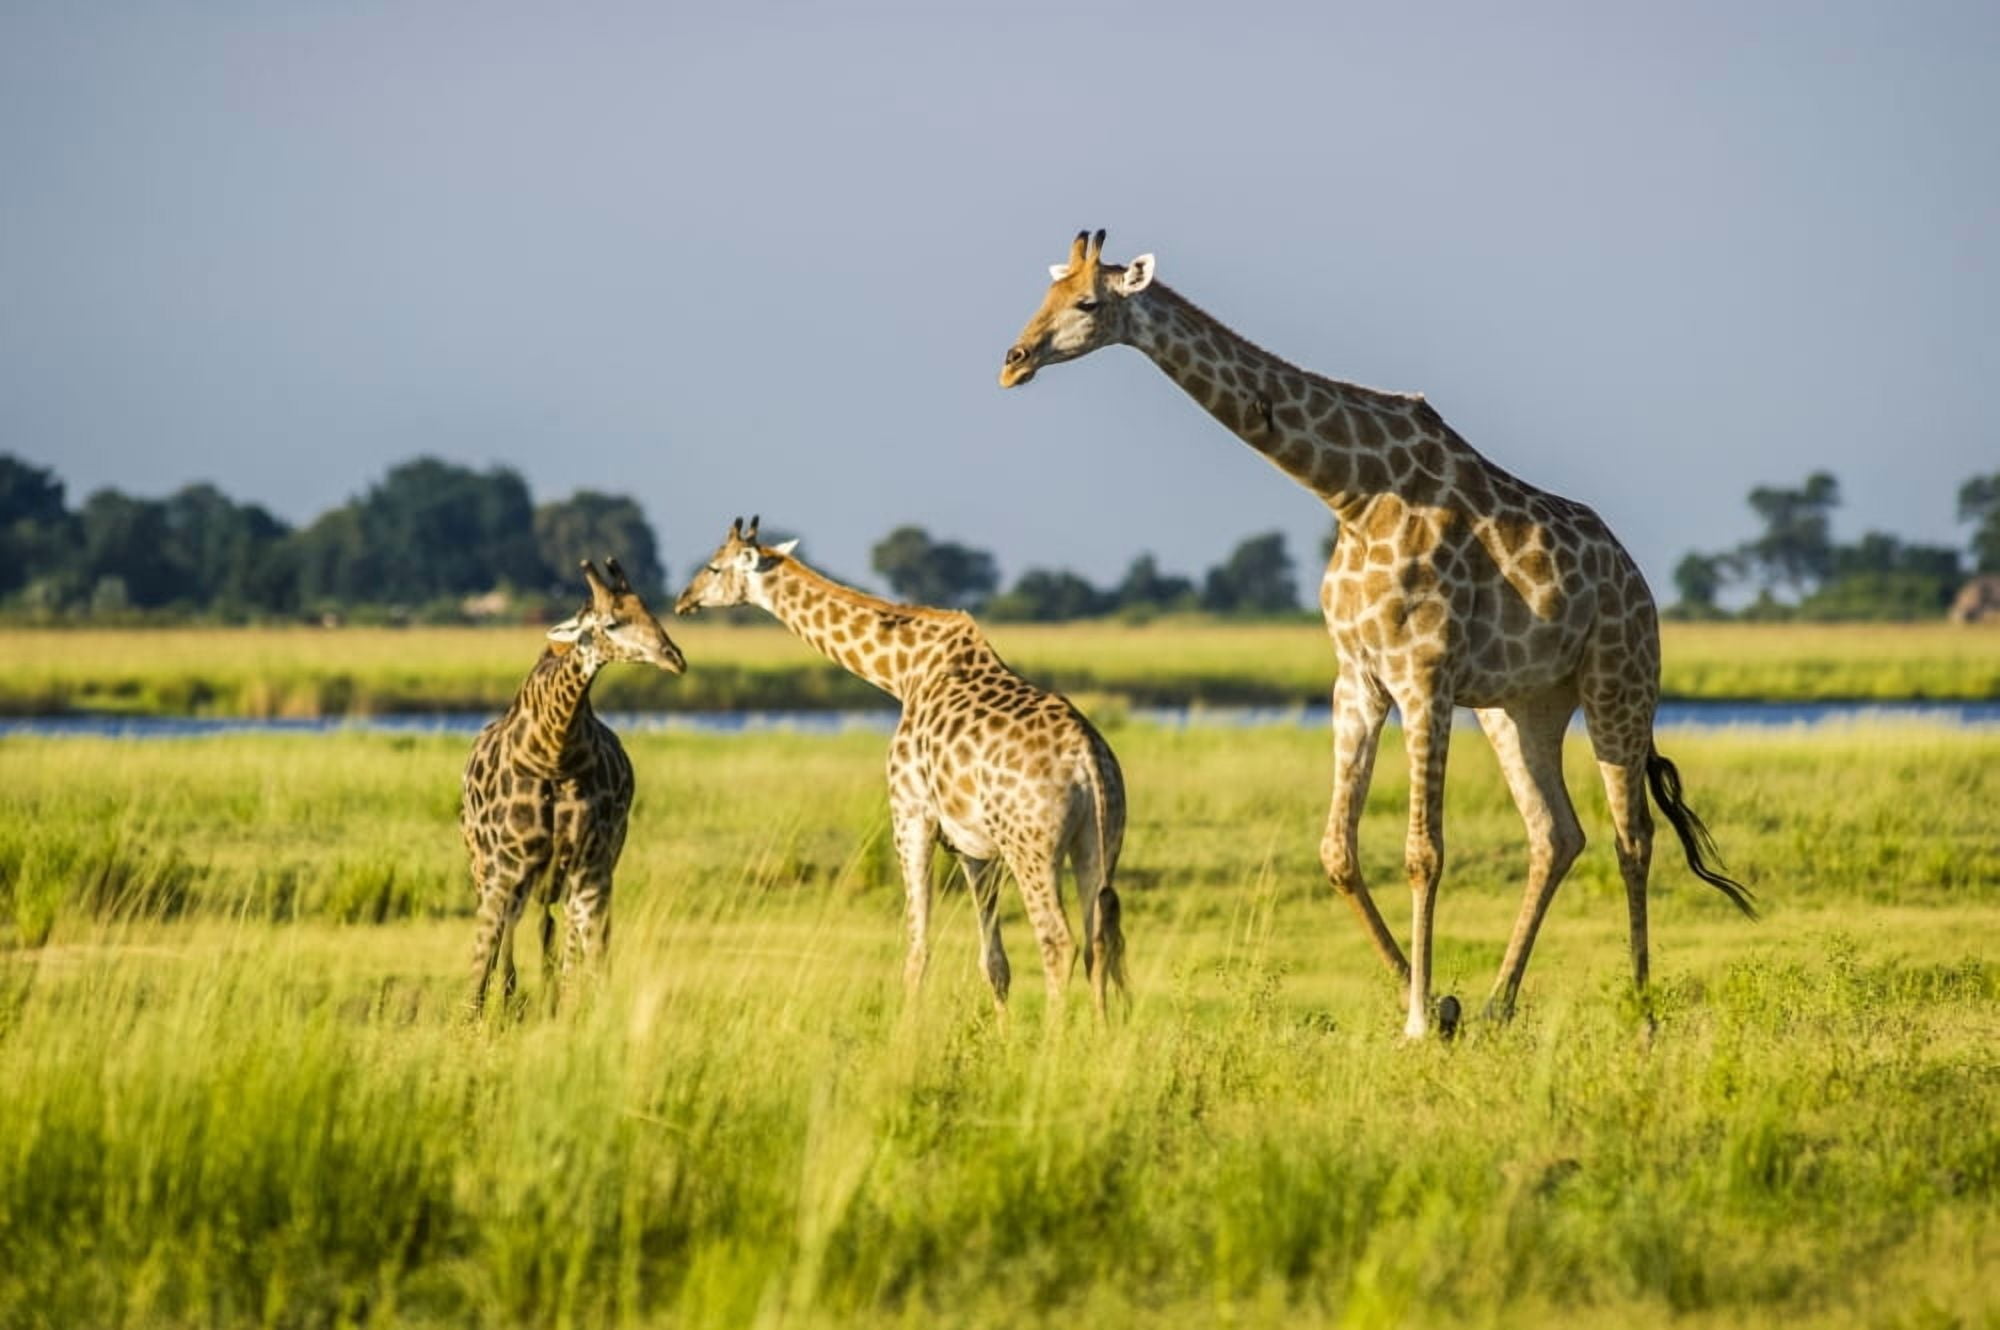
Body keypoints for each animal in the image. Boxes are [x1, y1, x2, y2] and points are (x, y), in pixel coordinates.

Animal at [462, 558, 686, 1016]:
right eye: (612, 622)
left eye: (649, 611)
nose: (674, 657)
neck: (554, 750)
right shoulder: (504, 868)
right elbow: (481, 960)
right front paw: (474, 1022)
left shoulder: (588, 865)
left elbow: (589, 955)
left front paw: (578, 1014)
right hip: (490, 868)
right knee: (512, 939)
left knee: (563, 936)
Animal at [673, 517, 1127, 1018]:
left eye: (714, 567)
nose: (683, 600)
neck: (903, 671)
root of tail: (1088, 758)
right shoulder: (973, 845)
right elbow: (994, 963)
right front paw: (1003, 1034)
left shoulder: (910, 815)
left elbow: (916, 950)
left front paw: (907, 1035)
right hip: (1097, 842)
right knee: (1099, 941)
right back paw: (1100, 1034)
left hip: (1031, 847)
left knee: (1058, 941)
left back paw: (1055, 1037)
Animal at [1000, 230, 1754, 1038]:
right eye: (1043, 294)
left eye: (1087, 302)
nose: (1013, 360)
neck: (1352, 493)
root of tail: (1637, 580)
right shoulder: (1358, 678)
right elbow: (1337, 851)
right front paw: (1435, 1003)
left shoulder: (1424, 676)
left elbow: (1424, 851)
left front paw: (1419, 1021)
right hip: (1522, 705)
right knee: (1556, 833)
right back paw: (1498, 1004)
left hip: (1620, 682)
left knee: (1631, 836)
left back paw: (1641, 1013)